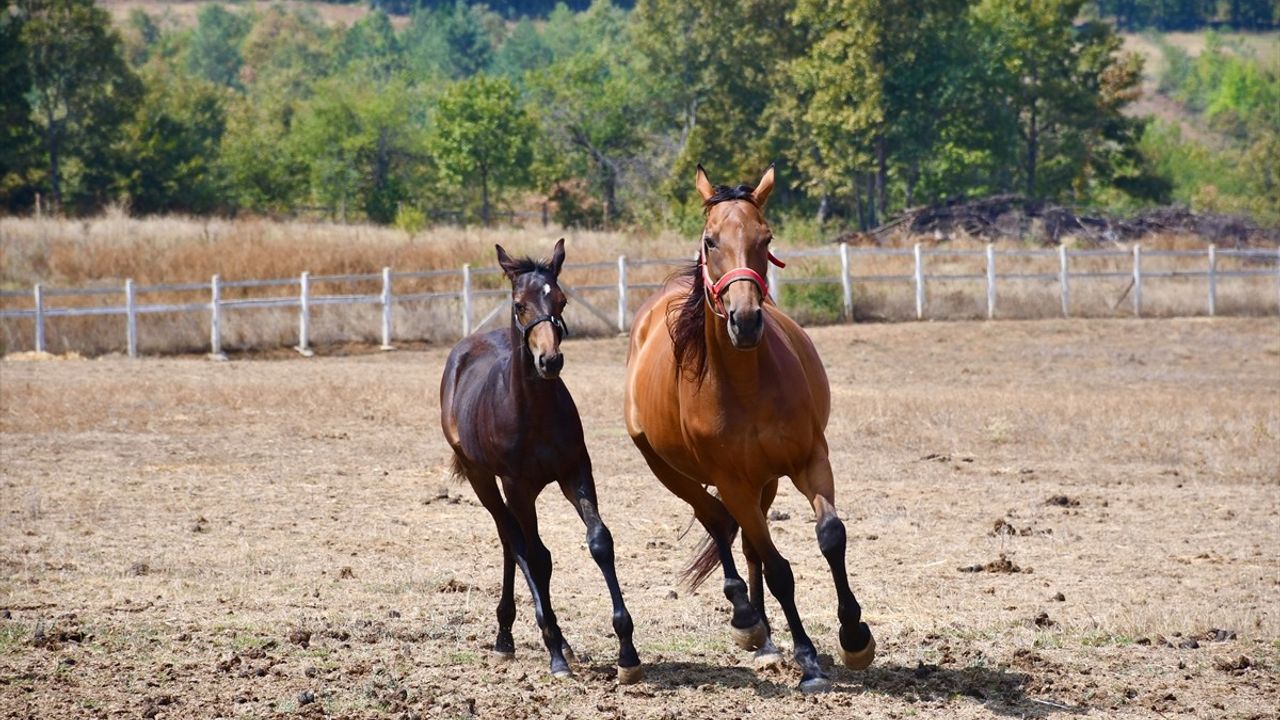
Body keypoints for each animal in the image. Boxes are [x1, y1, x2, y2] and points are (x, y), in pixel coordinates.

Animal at [445, 238, 645, 681]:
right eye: (519, 304)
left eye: (562, 300)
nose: (550, 361)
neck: (532, 410)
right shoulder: (517, 485)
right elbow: (535, 555)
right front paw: (554, 651)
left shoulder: (576, 471)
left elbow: (599, 541)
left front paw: (627, 651)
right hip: (483, 477)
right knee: (514, 539)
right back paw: (518, 639)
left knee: (513, 541)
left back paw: (514, 637)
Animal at [624, 163, 875, 691]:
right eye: (710, 240)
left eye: (766, 237)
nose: (745, 319)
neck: (744, 384)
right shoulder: (732, 482)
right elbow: (780, 569)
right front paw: (809, 661)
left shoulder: (808, 460)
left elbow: (831, 535)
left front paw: (855, 635)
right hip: (669, 470)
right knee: (719, 523)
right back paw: (746, 618)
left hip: (767, 479)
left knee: (745, 540)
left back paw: (764, 636)